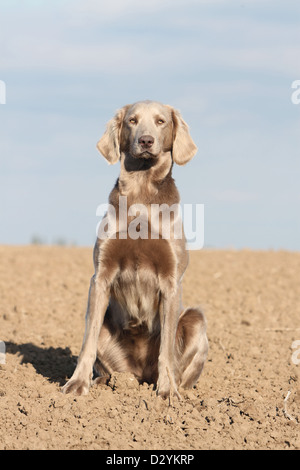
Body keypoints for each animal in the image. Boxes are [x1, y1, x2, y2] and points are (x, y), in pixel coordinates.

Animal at [62, 101, 207, 398]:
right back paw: (104, 383)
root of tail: (141, 374)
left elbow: (166, 351)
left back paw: (180, 390)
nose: (146, 140)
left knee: (181, 369)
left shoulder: (171, 280)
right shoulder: (100, 276)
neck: (142, 190)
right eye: (132, 120)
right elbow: (87, 342)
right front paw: (77, 384)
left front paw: (167, 393)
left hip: (196, 319)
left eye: (161, 121)